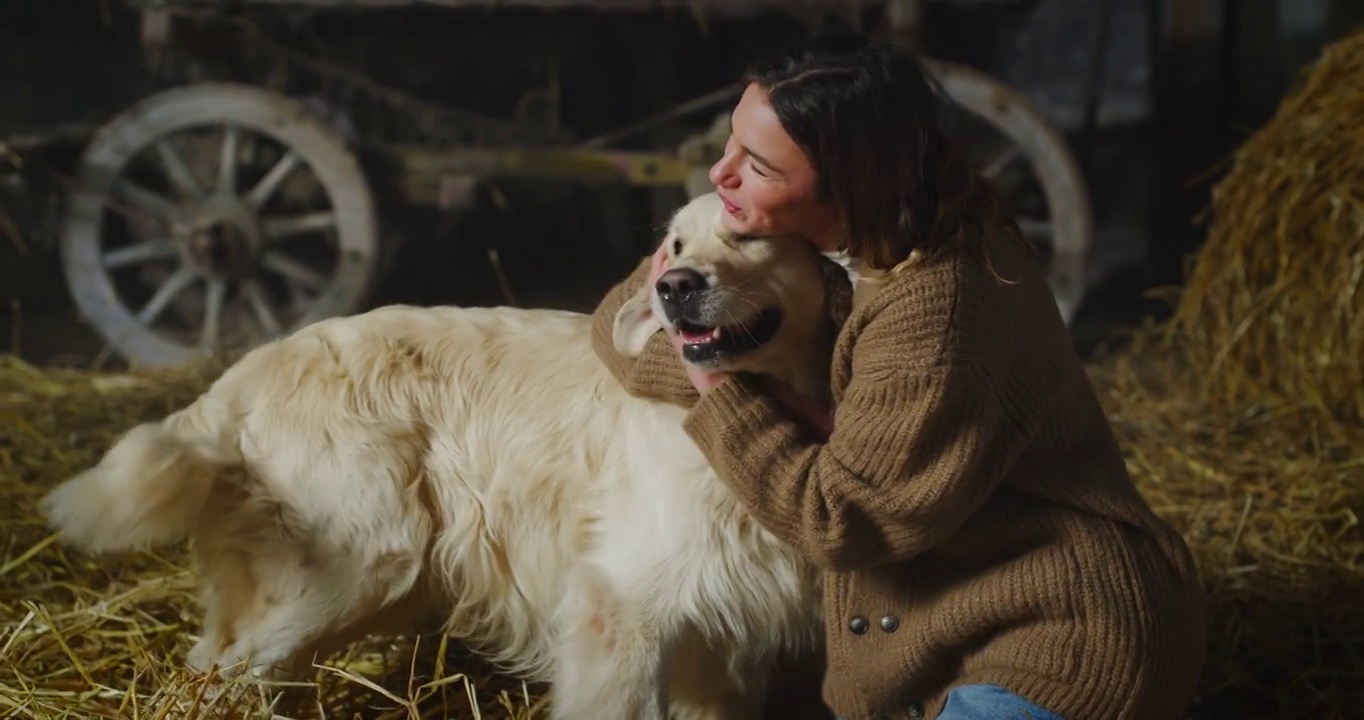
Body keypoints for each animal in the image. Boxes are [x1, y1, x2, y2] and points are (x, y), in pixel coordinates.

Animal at [39, 190, 829, 720]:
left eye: (749, 235)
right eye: (674, 246)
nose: (673, 287)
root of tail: (246, 372)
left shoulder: (722, 639)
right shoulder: (622, 608)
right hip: (359, 564)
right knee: (226, 676)